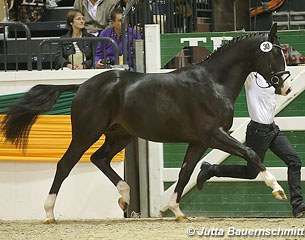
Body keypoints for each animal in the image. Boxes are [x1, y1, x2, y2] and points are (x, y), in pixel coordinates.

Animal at [0, 23, 290, 222]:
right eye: (275, 55)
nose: (285, 87)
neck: (212, 83)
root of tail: (83, 85)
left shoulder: (197, 141)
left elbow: (185, 172)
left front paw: (177, 211)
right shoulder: (213, 135)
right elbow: (250, 152)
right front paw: (277, 189)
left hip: (119, 135)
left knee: (99, 159)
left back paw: (125, 196)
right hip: (86, 133)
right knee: (65, 165)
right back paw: (50, 213)